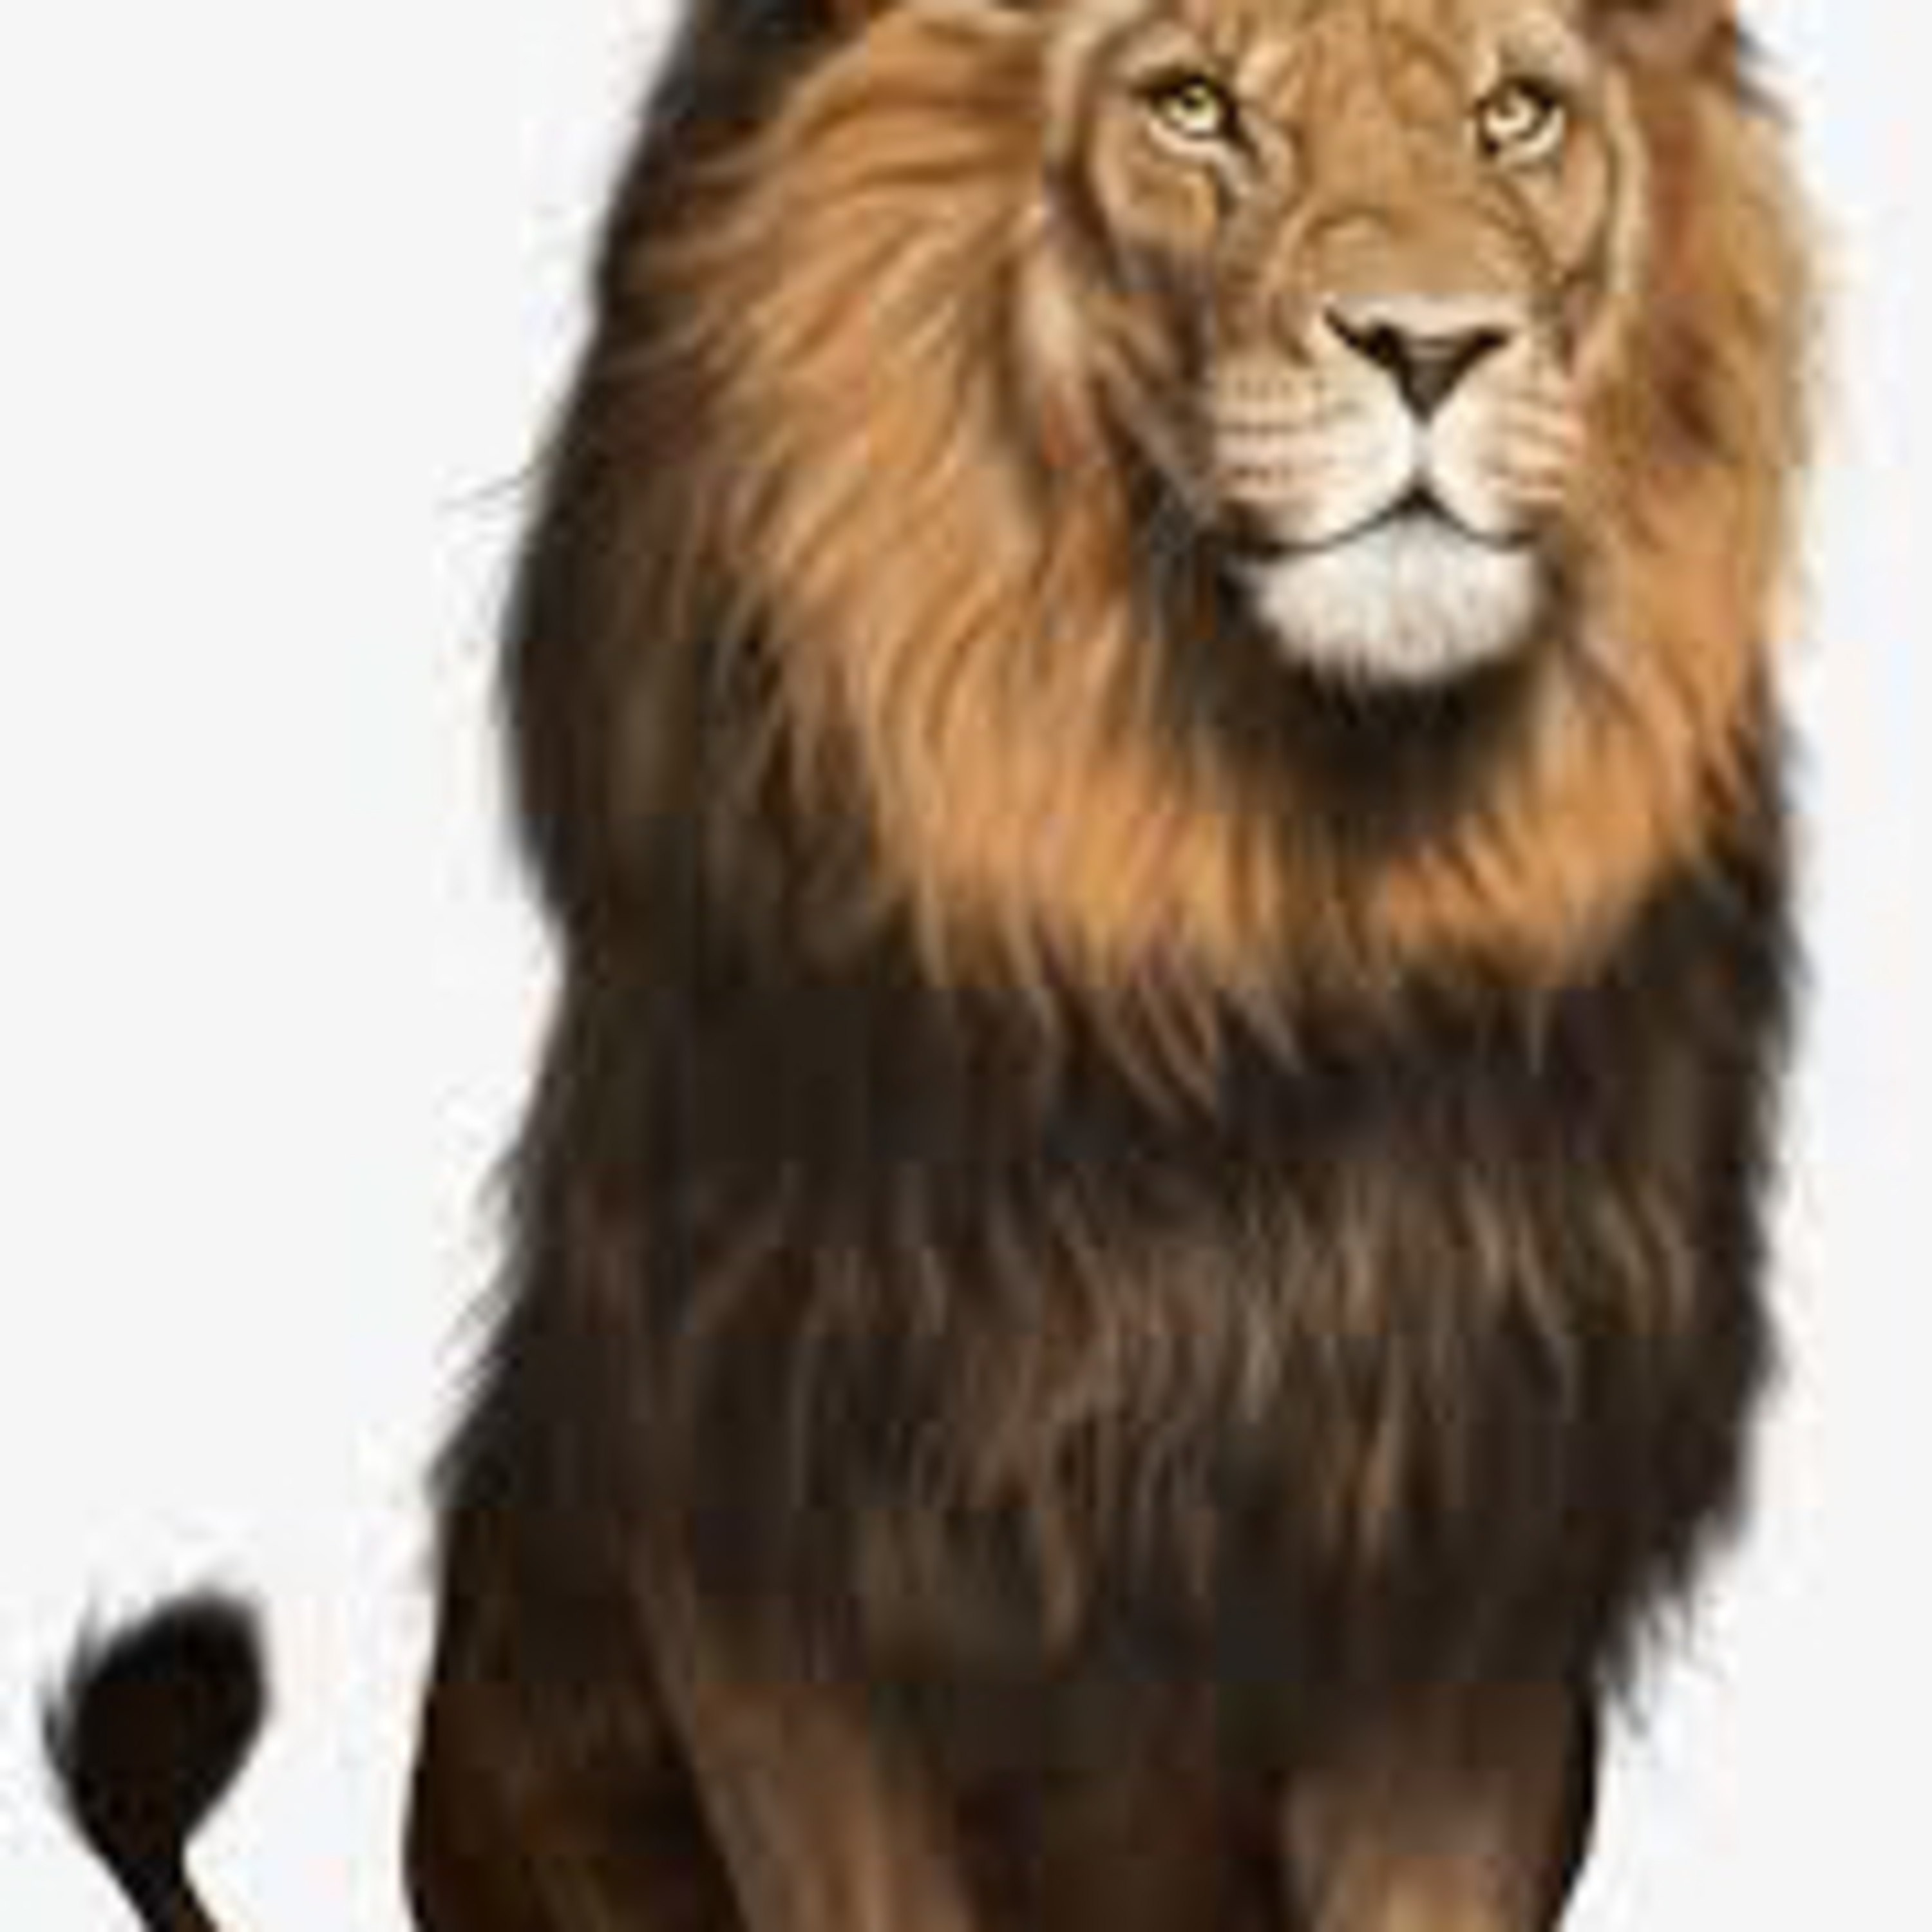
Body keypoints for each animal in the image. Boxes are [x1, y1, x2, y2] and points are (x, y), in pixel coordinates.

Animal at [47, 0, 1812, 1926]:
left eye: (1516, 117)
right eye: (1191, 107)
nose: (1435, 345)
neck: (1245, 917)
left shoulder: (1466, 1564)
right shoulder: (770, 1541)